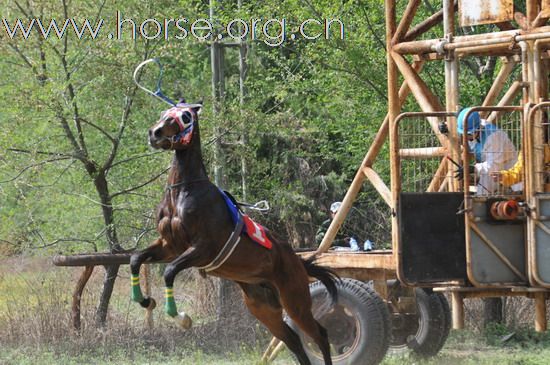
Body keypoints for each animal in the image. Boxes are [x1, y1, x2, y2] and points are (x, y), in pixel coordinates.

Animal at [131, 100, 338, 364]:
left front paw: (181, 318)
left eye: (185, 117)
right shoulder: (170, 246)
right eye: (163, 113)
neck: (183, 191)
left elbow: (169, 271)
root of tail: (299, 263)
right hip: (263, 307)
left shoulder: (203, 249)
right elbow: (136, 258)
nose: (154, 133)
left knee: (320, 334)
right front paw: (145, 300)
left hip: (295, 299)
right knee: (292, 340)